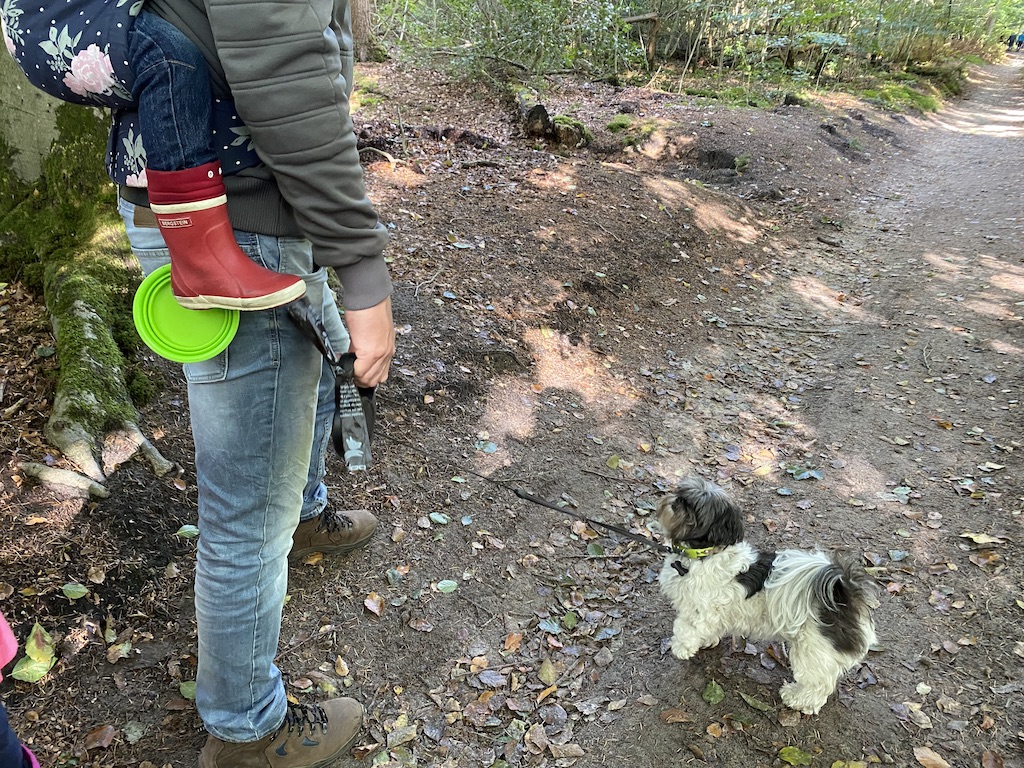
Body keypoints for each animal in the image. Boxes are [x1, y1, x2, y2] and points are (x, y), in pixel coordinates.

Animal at [659, 479, 876, 720]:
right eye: (681, 492)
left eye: (695, 509)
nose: (677, 501)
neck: (703, 555)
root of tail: (842, 596)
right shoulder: (714, 612)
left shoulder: (697, 610)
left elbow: (685, 629)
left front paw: (681, 648)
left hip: (813, 650)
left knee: (818, 684)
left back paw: (799, 699)